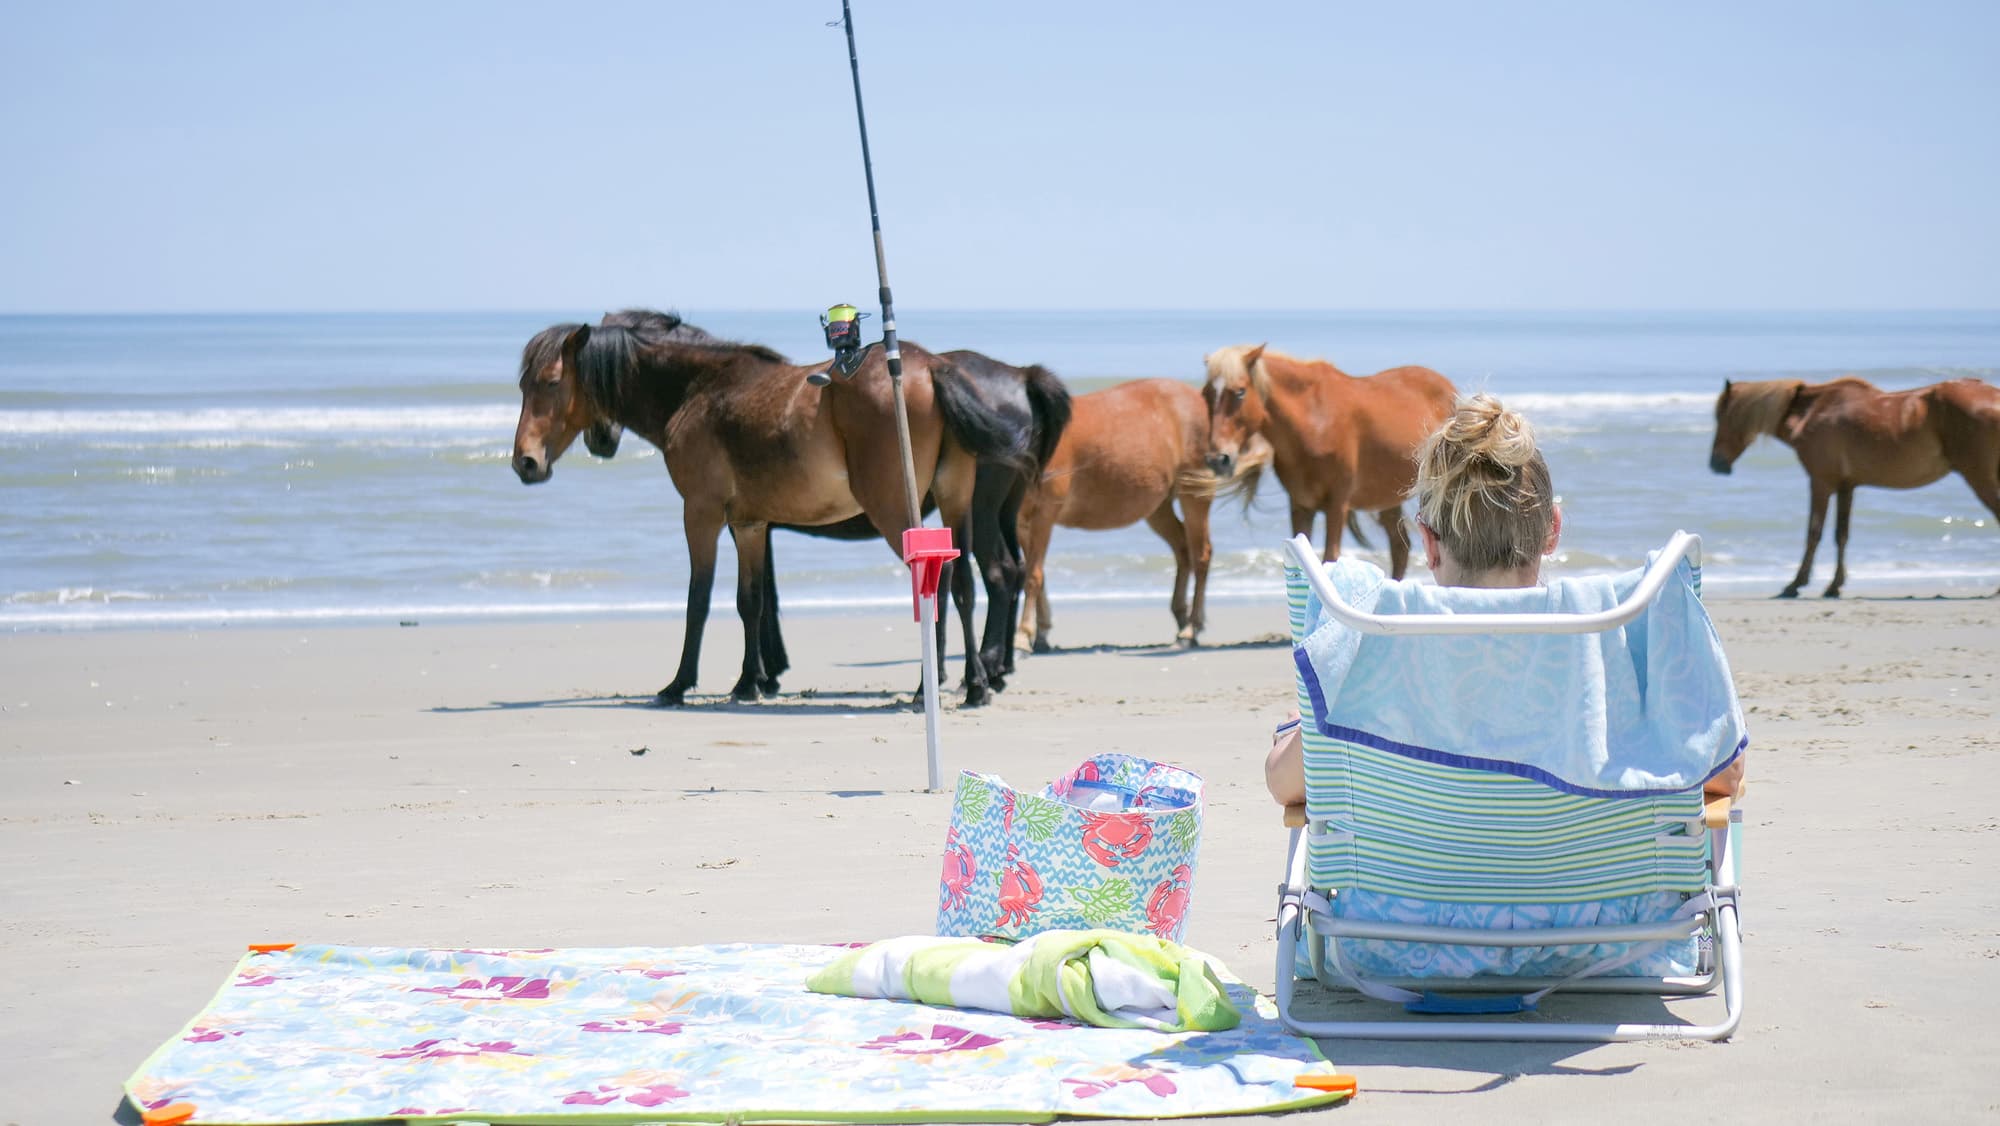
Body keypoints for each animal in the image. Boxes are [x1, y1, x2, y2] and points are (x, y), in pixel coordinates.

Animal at [511, 309, 1037, 707]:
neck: (698, 389)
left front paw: (679, 684)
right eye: (522, 386)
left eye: (550, 382)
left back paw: (934, 686)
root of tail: (931, 367)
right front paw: (748, 683)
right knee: (963, 584)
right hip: (955, 505)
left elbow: (699, 599)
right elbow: (752, 601)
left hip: (898, 513)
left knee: (941, 586)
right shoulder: (750, 523)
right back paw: (974, 685)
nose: (524, 462)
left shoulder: (700, 514)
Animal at [1013, 378, 1264, 652]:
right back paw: (1181, 619)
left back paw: (1191, 629)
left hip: (1194, 496)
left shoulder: (1044, 515)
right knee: (1182, 550)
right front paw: (1041, 634)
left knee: (1201, 555)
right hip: (1158, 509)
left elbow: (1033, 576)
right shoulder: (1022, 524)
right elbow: (1037, 574)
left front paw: (1023, 636)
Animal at [1202, 344, 1458, 576]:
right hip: (1388, 497)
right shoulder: (1301, 506)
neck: (1313, 420)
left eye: (1239, 392)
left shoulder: (1338, 504)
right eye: (1206, 394)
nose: (1217, 459)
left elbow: (1330, 557)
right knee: (1399, 548)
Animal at [1708, 376, 2000, 598]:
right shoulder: (1846, 487)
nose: (1716, 463)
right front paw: (1834, 585)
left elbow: (1814, 532)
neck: (1813, 413)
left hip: (1980, 478)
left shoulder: (1821, 482)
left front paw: (1795, 584)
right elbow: (1841, 534)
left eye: (1724, 417)